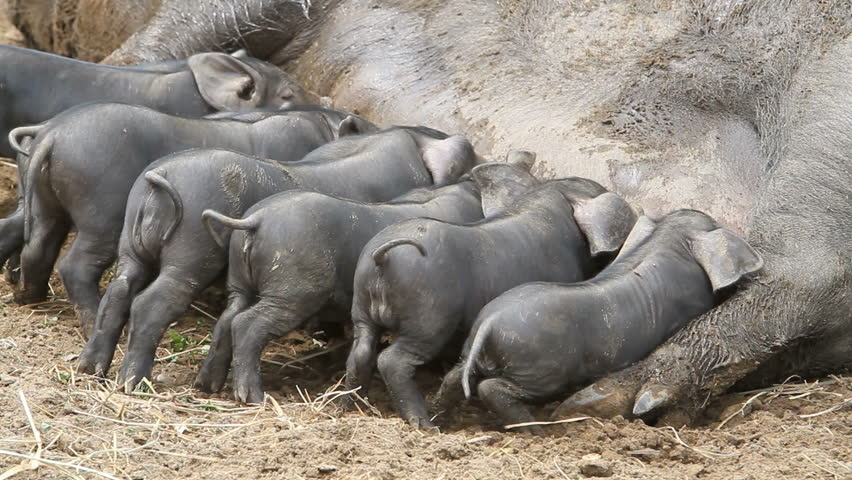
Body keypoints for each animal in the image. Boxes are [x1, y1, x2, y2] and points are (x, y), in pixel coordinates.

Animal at [13, 103, 371, 333]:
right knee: (75, 265)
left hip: (46, 205)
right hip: (101, 214)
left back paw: (29, 299)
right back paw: (88, 320)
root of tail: (52, 135)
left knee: (38, 247)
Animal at [77, 127, 478, 390]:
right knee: (152, 303)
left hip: (132, 247)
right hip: (190, 253)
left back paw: (92, 369)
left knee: (119, 292)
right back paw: (134, 382)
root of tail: (159, 177)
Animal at [344, 169, 641, 428]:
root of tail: (382, 258)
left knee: (361, 352)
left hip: (362, 310)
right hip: (427, 321)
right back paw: (425, 425)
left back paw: (348, 406)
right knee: (392, 361)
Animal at [433, 210, 763, 434]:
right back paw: (538, 430)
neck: (670, 241)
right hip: (541, 372)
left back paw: (438, 419)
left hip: (479, 354)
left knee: (454, 377)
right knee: (492, 388)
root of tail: (489, 322)